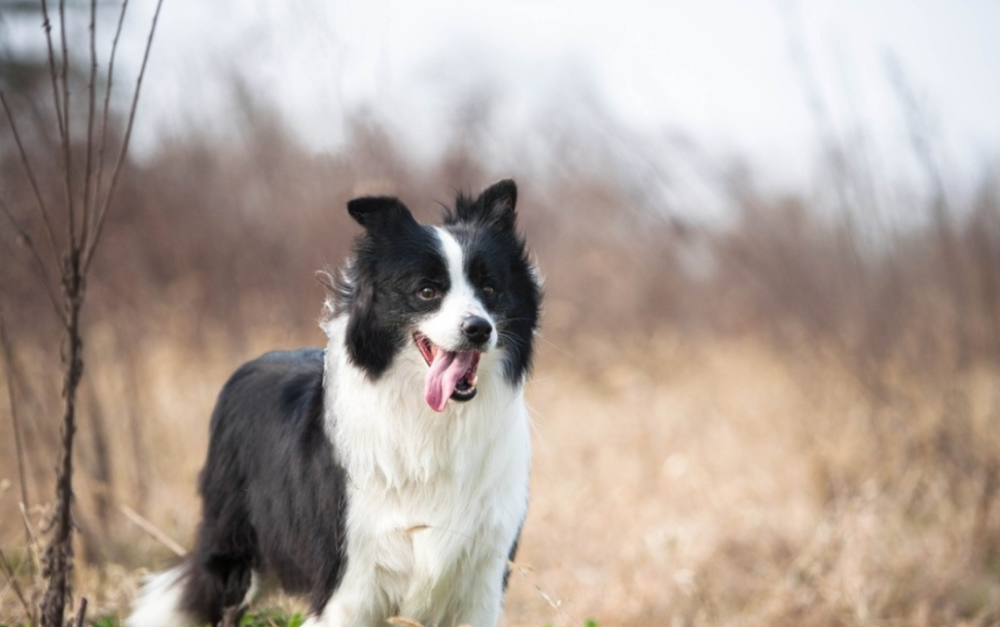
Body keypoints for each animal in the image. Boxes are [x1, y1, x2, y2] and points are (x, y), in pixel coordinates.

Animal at [131, 180, 548, 627]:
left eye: (490, 289)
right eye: (427, 291)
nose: (478, 329)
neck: (433, 423)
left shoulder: (482, 582)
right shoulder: (349, 583)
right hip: (234, 554)